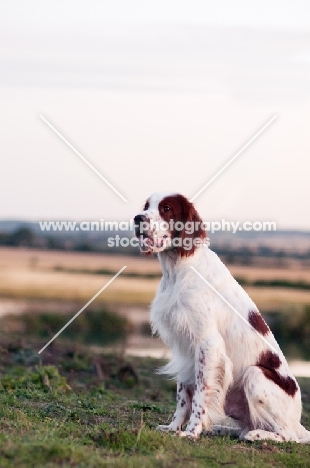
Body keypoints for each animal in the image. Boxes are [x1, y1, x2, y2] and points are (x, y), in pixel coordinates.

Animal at [134, 191, 310, 442]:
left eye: (166, 208)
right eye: (146, 206)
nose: (137, 218)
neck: (178, 268)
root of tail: (298, 424)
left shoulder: (207, 344)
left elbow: (199, 395)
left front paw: (191, 432)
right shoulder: (184, 346)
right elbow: (183, 395)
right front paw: (174, 427)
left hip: (255, 374)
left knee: (287, 435)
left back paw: (256, 435)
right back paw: (224, 429)